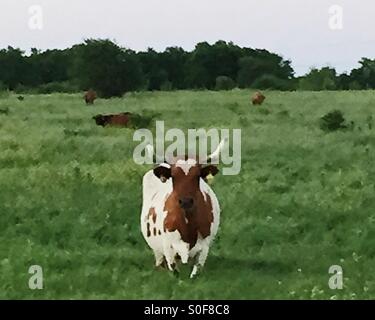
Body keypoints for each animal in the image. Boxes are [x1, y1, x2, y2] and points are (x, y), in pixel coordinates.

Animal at [140, 141, 223, 278]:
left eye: (197, 176)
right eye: (173, 176)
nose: (185, 201)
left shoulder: (204, 248)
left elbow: (195, 273)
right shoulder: (168, 248)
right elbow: (175, 273)